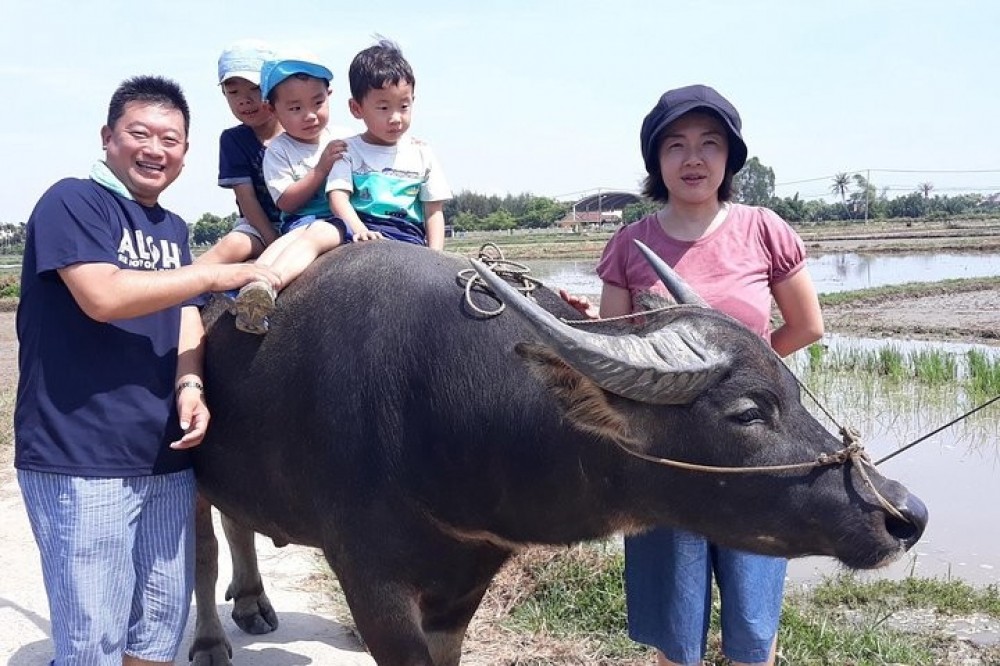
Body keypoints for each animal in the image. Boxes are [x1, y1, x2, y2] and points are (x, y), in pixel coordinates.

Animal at [189, 240, 928, 664]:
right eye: (748, 412)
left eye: (797, 391)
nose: (906, 514)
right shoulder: (370, 579)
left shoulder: (468, 574)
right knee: (201, 549)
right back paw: (212, 640)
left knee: (237, 519)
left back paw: (252, 603)